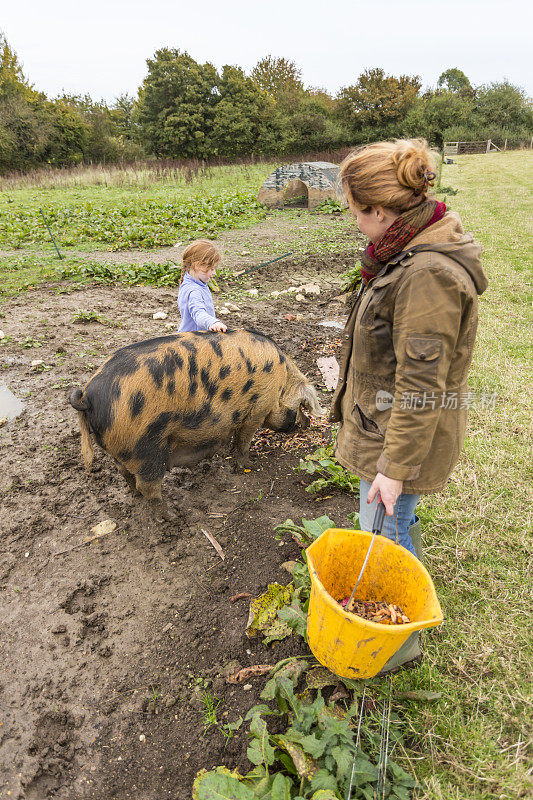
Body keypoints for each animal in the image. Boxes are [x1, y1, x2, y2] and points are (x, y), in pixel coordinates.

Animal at [70, 326, 324, 520]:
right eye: (302, 407)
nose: (307, 424)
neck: (281, 382)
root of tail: (87, 395)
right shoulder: (256, 410)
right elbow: (243, 441)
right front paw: (247, 466)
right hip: (145, 447)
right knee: (148, 486)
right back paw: (171, 516)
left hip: (123, 449)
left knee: (124, 473)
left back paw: (136, 496)